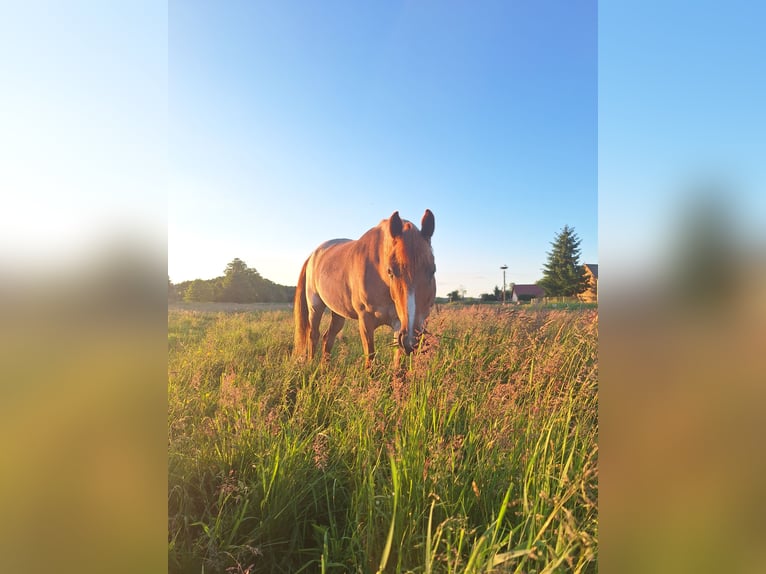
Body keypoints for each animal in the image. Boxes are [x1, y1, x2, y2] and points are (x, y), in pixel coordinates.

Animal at [294, 209, 436, 368]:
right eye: (390, 271)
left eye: (432, 270)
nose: (411, 340)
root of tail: (313, 255)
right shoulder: (365, 320)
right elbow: (370, 359)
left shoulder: (399, 324)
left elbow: (397, 365)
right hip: (315, 307)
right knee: (314, 336)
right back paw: (311, 365)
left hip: (338, 313)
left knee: (328, 338)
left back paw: (325, 368)